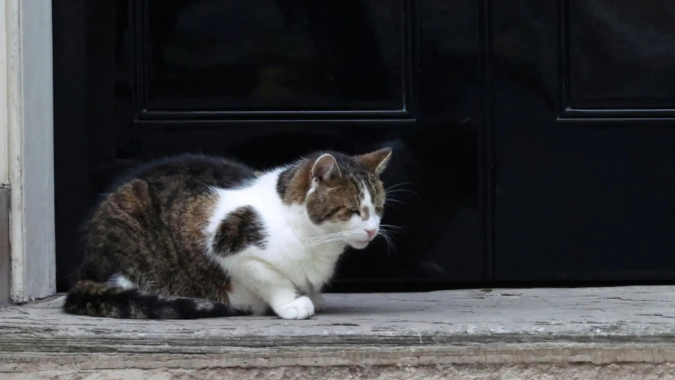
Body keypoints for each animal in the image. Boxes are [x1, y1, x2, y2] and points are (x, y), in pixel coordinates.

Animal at [64, 147, 390, 320]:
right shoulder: (231, 247)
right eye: (352, 210)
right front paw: (292, 302)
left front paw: (311, 294)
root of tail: (85, 267)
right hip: (133, 222)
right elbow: (273, 280)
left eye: (377, 207)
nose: (372, 229)